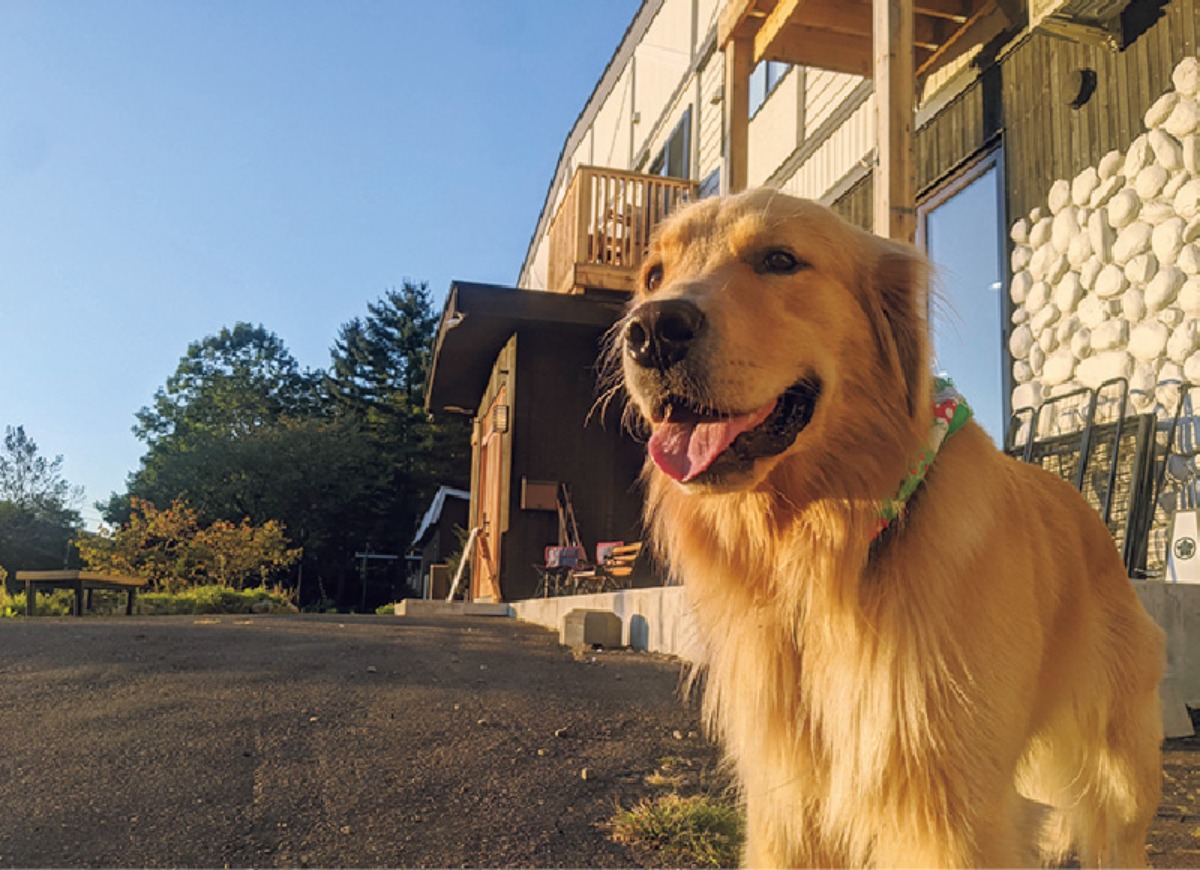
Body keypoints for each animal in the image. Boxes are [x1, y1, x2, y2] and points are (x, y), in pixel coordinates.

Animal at [619, 189, 1161, 868]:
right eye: (652, 277)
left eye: (779, 259)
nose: (650, 332)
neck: (822, 547)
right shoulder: (787, 801)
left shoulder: (949, 812)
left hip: (1117, 779)